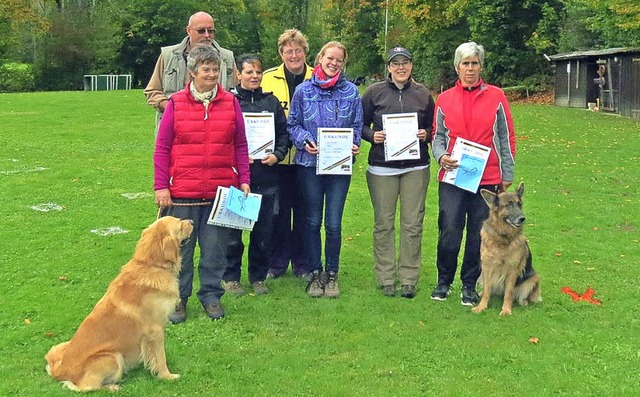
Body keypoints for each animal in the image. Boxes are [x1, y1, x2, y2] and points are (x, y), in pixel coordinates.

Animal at [470, 183, 540, 316]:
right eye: (508, 205)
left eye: (519, 204)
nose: (522, 218)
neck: (502, 237)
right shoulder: (486, 266)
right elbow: (487, 289)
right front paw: (481, 306)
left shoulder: (512, 270)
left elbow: (509, 293)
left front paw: (506, 310)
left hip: (534, 277)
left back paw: (523, 301)